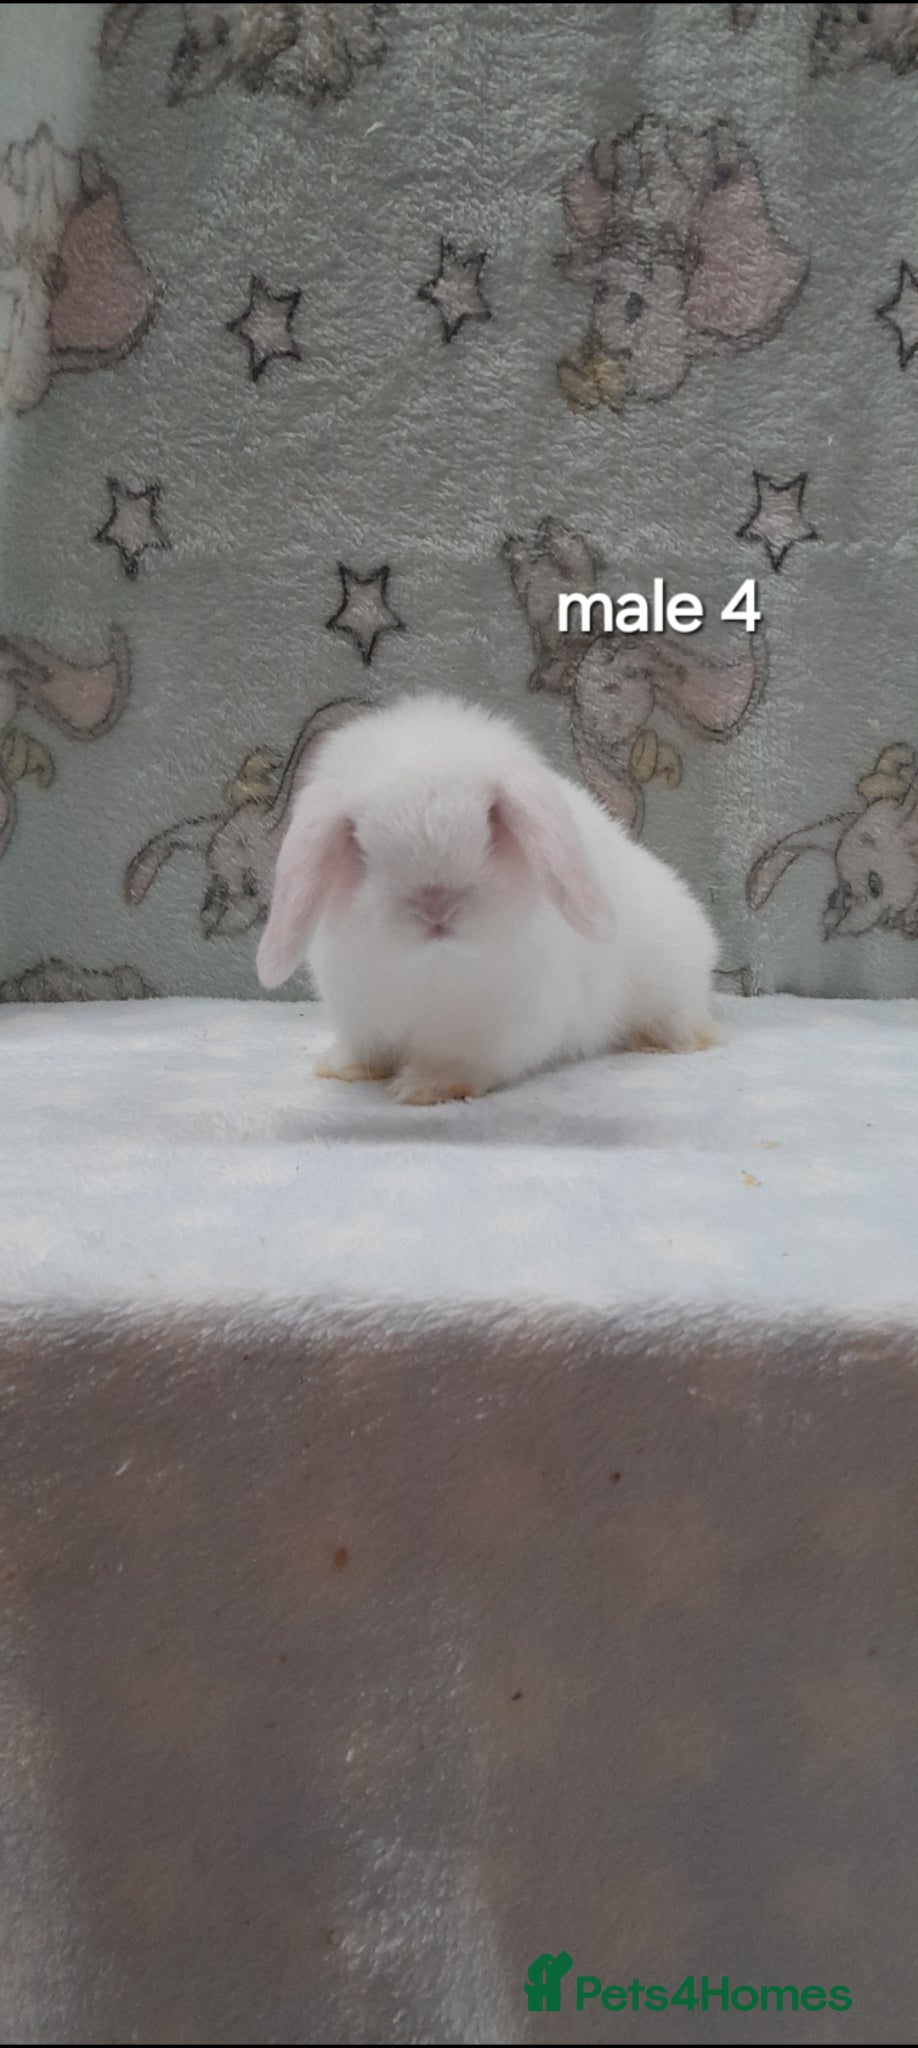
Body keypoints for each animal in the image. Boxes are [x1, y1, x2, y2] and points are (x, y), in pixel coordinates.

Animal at [256, 692, 719, 1104]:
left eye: (490, 820)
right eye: (356, 838)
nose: (436, 907)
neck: (431, 968)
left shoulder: (502, 1030)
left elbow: (465, 1063)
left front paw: (427, 1087)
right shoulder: (359, 1016)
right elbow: (365, 1050)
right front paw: (340, 1068)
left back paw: (664, 1042)